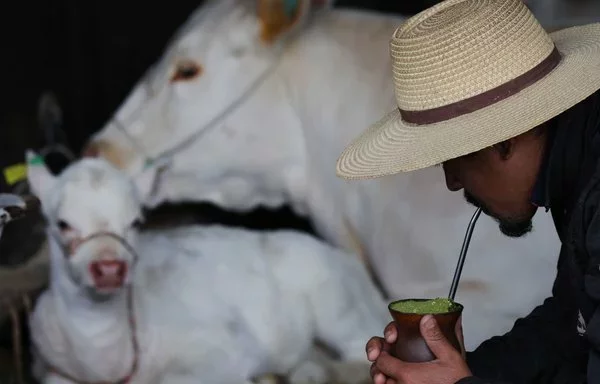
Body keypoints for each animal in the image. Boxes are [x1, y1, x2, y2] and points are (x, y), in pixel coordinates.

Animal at [25, 154, 390, 384]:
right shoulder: (50, 366)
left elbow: (174, 379)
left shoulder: (224, 346)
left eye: (136, 222)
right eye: (62, 223)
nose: (110, 267)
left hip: (339, 302)